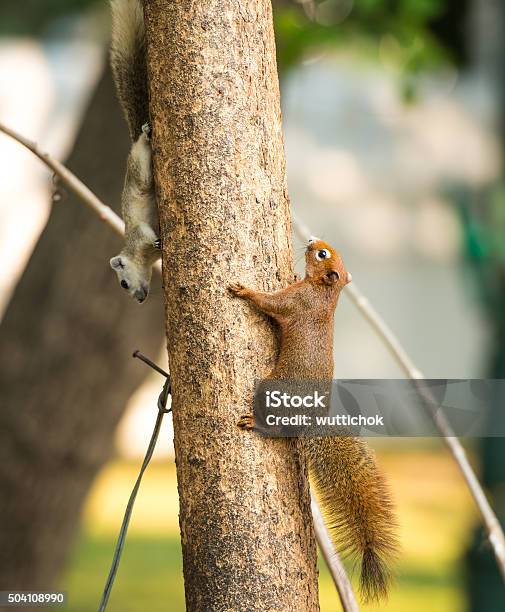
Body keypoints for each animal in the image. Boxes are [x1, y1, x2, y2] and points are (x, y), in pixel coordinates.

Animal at [228, 237, 398, 600]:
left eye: (322, 254)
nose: (310, 240)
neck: (324, 294)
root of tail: (310, 418)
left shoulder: (295, 302)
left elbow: (270, 303)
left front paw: (244, 291)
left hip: (271, 389)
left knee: (275, 427)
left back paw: (254, 424)